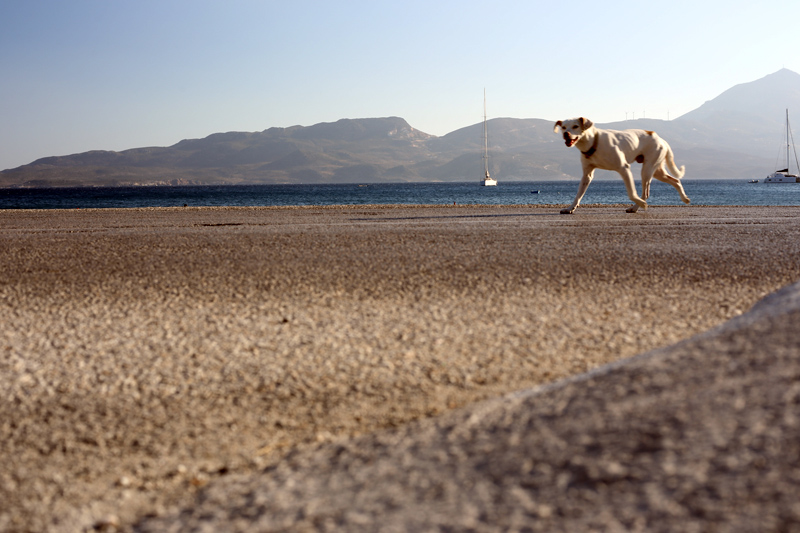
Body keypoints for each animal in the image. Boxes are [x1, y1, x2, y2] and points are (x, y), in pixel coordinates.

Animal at [552, 117, 692, 213]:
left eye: (575, 126)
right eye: (563, 127)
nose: (566, 134)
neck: (594, 142)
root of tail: (661, 139)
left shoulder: (624, 168)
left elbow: (631, 193)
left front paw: (641, 203)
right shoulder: (587, 175)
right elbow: (578, 195)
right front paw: (570, 208)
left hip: (647, 170)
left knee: (645, 193)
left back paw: (636, 207)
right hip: (657, 171)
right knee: (676, 181)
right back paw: (685, 198)